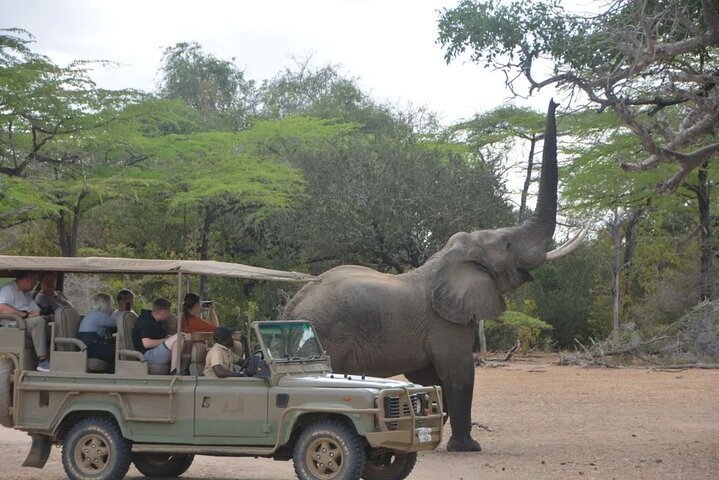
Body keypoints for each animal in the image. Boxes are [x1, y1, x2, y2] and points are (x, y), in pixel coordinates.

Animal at [282, 99, 584, 452]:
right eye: (508, 244)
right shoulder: (444, 324)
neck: (448, 258)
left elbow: (429, 378)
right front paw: (467, 447)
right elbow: (459, 374)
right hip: (328, 333)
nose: (555, 102)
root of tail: (292, 307)